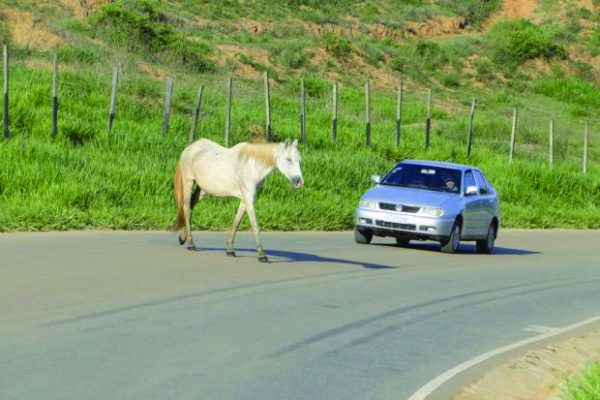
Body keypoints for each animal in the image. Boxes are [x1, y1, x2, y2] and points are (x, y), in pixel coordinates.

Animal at [173, 138, 304, 262]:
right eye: (288, 159)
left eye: (299, 160)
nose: (299, 181)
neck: (252, 165)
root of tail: (189, 148)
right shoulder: (248, 198)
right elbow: (255, 225)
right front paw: (262, 255)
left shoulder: (245, 199)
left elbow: (236, 222)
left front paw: (230, 250)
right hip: (188, 183)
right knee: (186, 208)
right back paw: (191, 243)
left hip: (202, 190)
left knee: (190, 207)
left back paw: (183, 237)